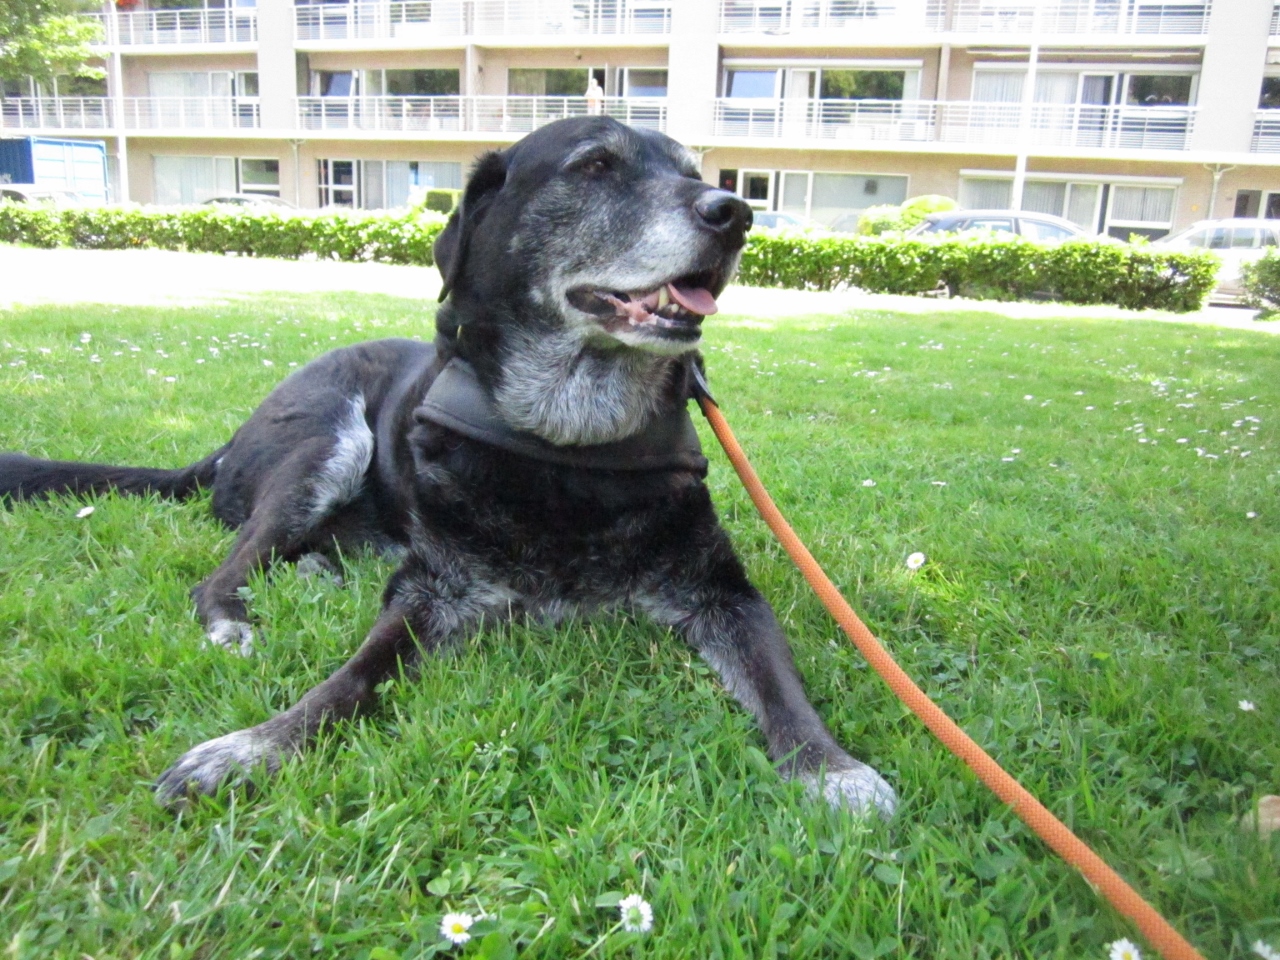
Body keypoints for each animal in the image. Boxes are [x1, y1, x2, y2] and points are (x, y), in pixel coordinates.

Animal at [0, 117, 896, 818]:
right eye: (595, 167)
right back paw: (236, 616)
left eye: (694, 172)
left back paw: (320, 573)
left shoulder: (725, 595)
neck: (569, 442)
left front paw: (834, 769)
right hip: (330, 436)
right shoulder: (430, 592)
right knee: (224, 569)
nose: (735, 211)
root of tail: (229, 436)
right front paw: (252, 747)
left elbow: (780, 686)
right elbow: (347, 681)